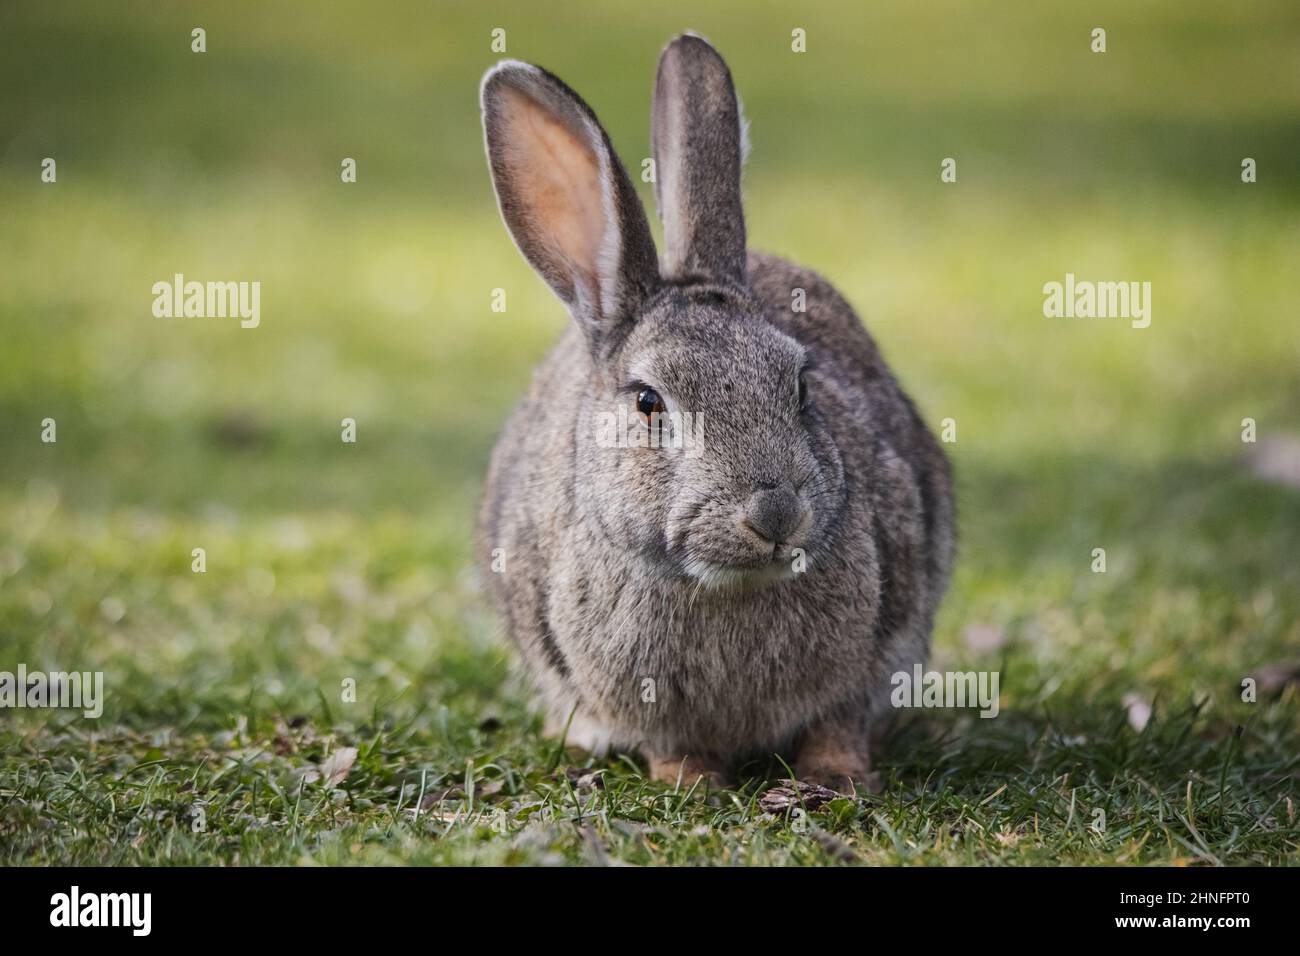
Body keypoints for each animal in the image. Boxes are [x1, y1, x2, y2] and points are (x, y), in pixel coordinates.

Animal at [476, 33, 954, 793]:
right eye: (649, 402)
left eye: (801, 387)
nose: (776, 513)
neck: (725, 582)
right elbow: (672, 744)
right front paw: (692, 781)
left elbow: (838, 723)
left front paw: (835, 778)